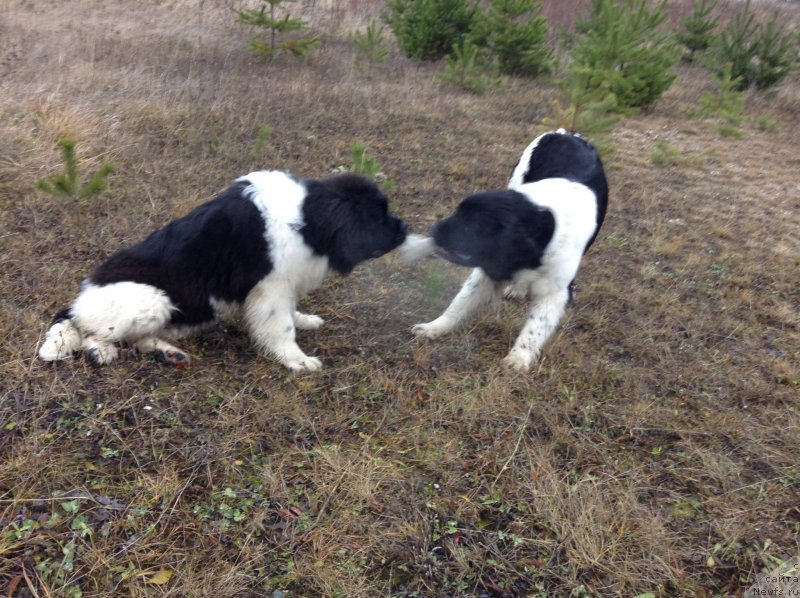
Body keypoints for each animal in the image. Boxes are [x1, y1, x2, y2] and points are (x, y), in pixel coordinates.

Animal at [38, 171, 410, 372]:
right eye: (378, 216)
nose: (405, 228)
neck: (307, 217)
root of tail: (79, 298)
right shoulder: (271, 287)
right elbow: (281, 326)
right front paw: (296, 360)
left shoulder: (283, 284)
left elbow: (291, 313)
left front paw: (304, 320)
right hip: (152, 299)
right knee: (94, 332)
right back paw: (101, 351)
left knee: (137, 339)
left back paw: (168, 353)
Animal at [404, 131, 608, 370]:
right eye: (458, 212)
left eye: (470, 226)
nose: (434, 229)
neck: (544, 226)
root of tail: (566, 133)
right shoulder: (488, 270)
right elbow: (459, 304)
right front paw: (434, 327)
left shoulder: (555, 292)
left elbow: (535, 328)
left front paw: (518, 358)